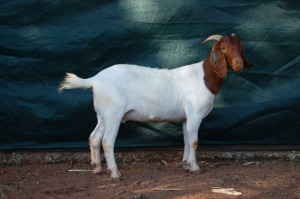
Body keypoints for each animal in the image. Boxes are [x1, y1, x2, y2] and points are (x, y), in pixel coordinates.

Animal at [59, 33, 255, 180]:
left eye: (240, 47)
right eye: (223, 48)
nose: (239, 63)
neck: (203, 77)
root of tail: (95, 80)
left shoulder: (186, 116)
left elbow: (186, 139)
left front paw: (185, 164)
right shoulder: (195, 114)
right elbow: (194, 141)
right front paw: (194, 167)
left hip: (102, 114)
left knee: (94, 137)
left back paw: (97, 168)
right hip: (113, 113)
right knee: (107, 141)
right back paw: (114, 173)